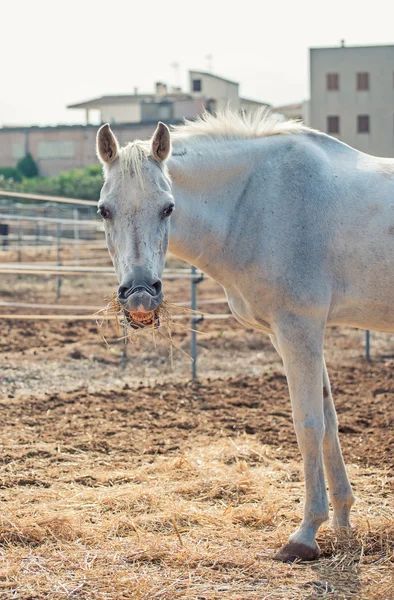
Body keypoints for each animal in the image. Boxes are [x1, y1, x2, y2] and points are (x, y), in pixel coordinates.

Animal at [95, 109, 394, 564]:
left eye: (168, 208)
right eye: (103, 210)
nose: (141, 296)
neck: (257, 202)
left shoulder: (299, 328)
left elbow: (308, 424)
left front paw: (306, 534)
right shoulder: (291, 335)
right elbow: (329, 421)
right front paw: (342, 521)